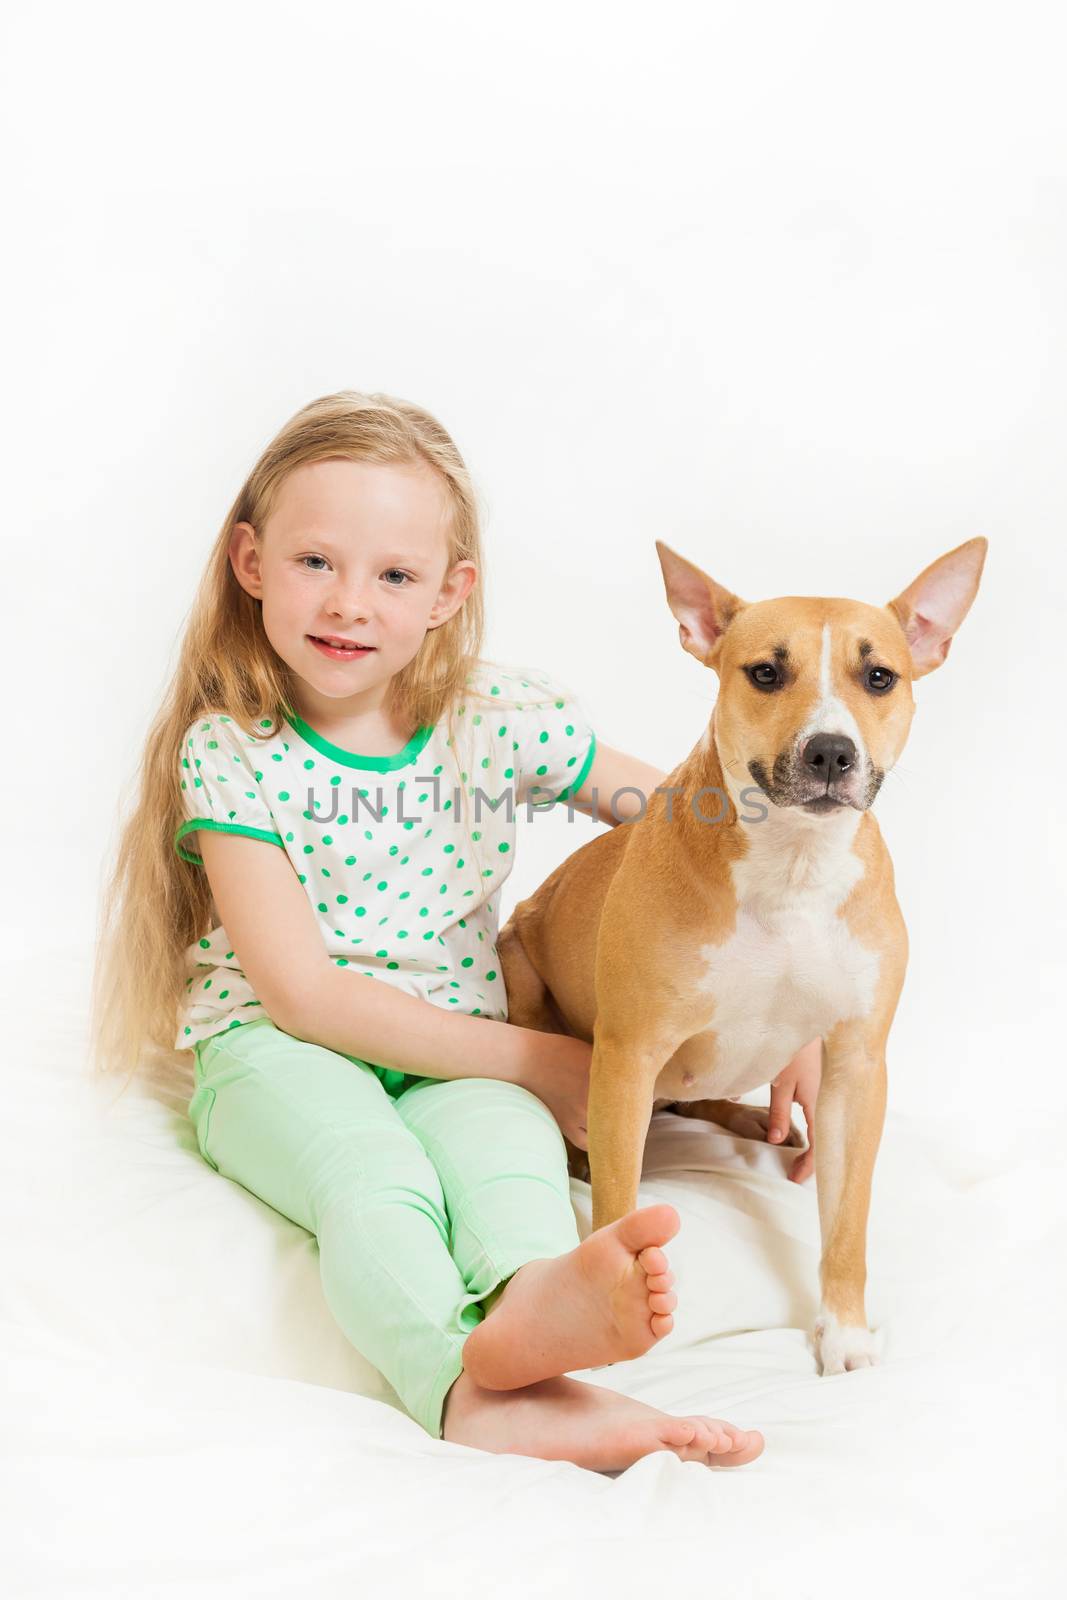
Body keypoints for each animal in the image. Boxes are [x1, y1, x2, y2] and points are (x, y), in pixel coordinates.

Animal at [495, 540, 991, 1376]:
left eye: (878, 677)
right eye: (764, 672)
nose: (829, 751)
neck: (792, 866)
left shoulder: (856, 1066)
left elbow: (847, 1221)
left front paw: (844, 1334)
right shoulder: (629, 1053)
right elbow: (619, 1205)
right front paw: (610, 1308)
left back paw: (754, 1119)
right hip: (522, 964)